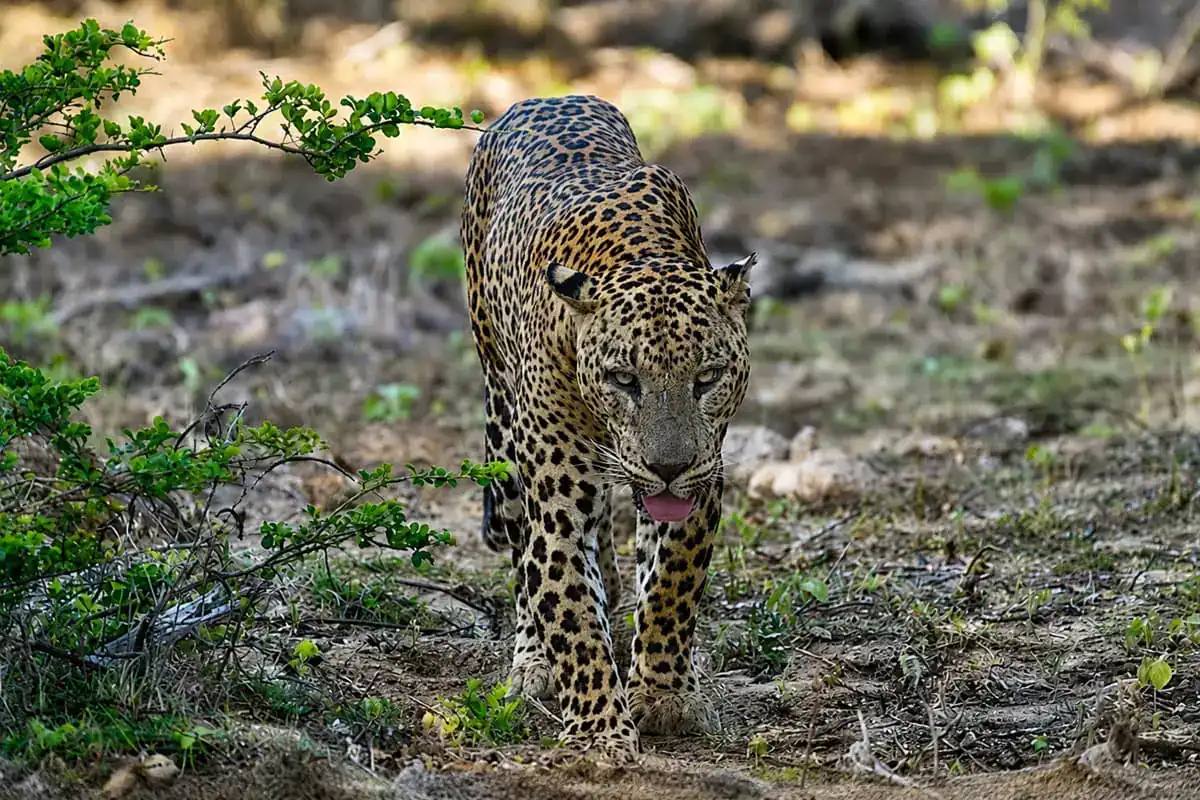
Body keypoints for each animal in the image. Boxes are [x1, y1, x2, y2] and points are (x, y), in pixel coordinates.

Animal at [460, 94, 756, 759]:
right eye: (624, 379)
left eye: (708, 377)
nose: (668, 467)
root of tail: (544, 97)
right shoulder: (555, 494)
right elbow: (568, 606)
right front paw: (598, 733)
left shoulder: (703, 479)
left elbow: (671, 584)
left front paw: (663, 694)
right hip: (503, 432)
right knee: (522, 557)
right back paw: (531, 661)